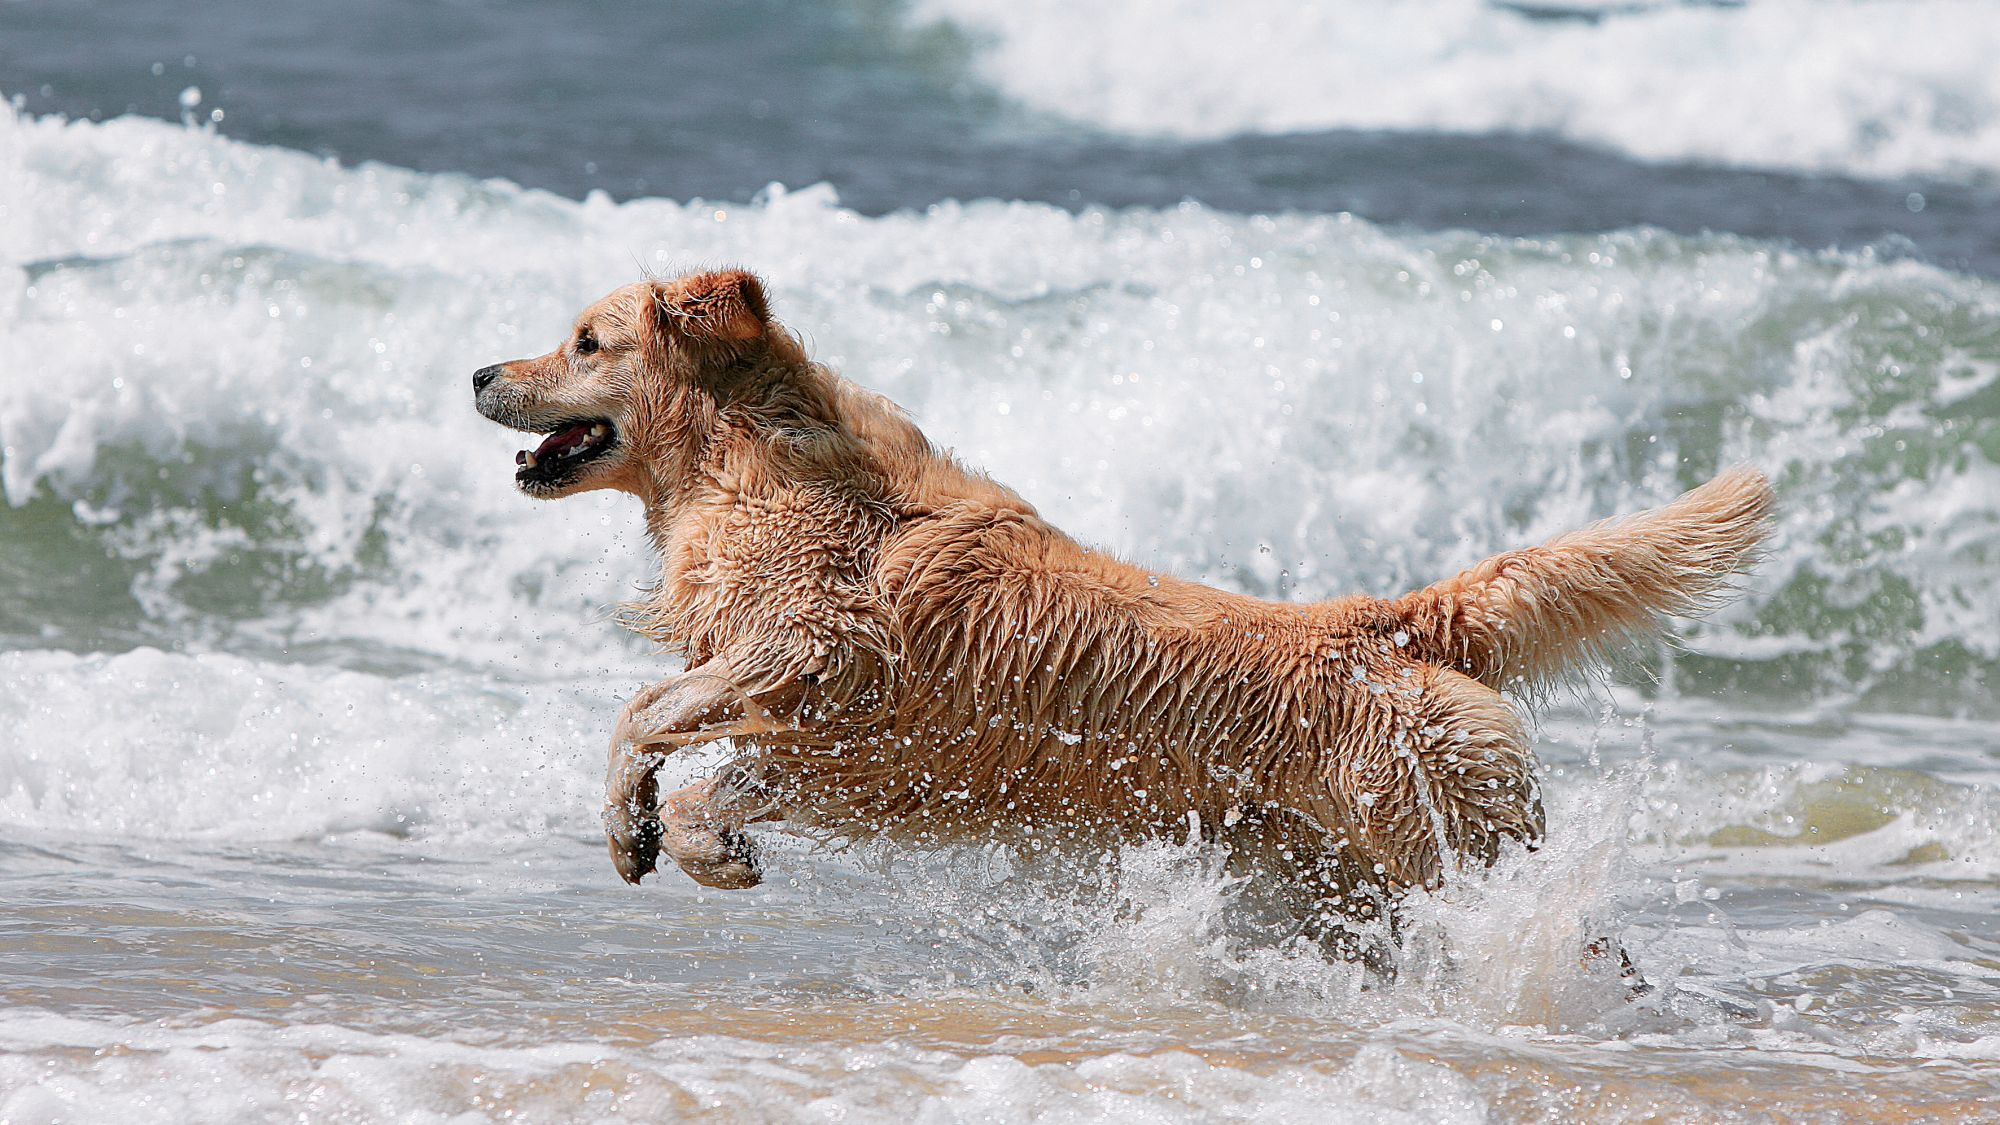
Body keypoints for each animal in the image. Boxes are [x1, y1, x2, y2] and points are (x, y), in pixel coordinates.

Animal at [476, 270, 1776, 936]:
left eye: (584, 340)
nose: (480, 370)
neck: (744, 460)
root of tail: (1380, 618)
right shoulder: (857, 747)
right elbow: (709, 762)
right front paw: (687, 837)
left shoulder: (825, 653)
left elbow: (644, 708)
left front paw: (644, 827)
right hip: (1335, 873)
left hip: (1447, 844)